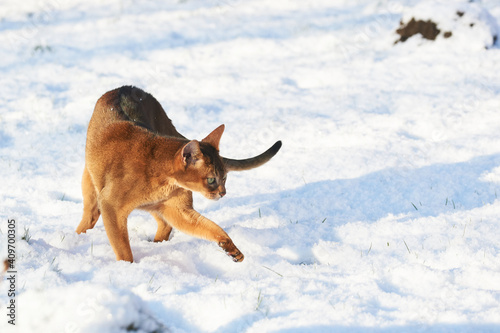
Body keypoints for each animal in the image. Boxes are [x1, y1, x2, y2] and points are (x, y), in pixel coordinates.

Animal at [77, 85, 282, 262]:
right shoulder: (110, 205)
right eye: (211, 179)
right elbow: (122, 248)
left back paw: (157, 244)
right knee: (90, 215)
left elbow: (210, 226)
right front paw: (128, 267)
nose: (223, 193)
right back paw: (77, 237)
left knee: (165, 225)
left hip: (154, 206)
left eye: (224, 178)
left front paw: (231, 248)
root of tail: (125, 87)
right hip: (91, 182)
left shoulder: (178, 210)